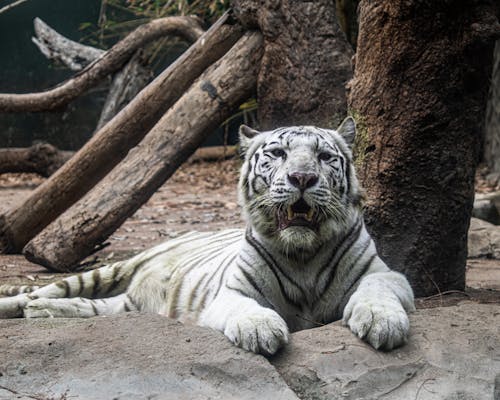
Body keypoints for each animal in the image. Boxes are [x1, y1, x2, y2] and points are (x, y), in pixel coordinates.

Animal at [0, 117, 414, 354]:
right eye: (278, 154)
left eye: (325, 157)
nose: (302, 178)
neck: (303, 255)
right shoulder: (230, 292)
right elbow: (246, 309)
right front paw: (260, 330)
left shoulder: (386, 274)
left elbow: (377, 291)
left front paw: (382, 323)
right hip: (112, 269)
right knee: (44, 291)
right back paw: (29, 306)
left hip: (130, 303)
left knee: (102, 308)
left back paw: (46, 312)